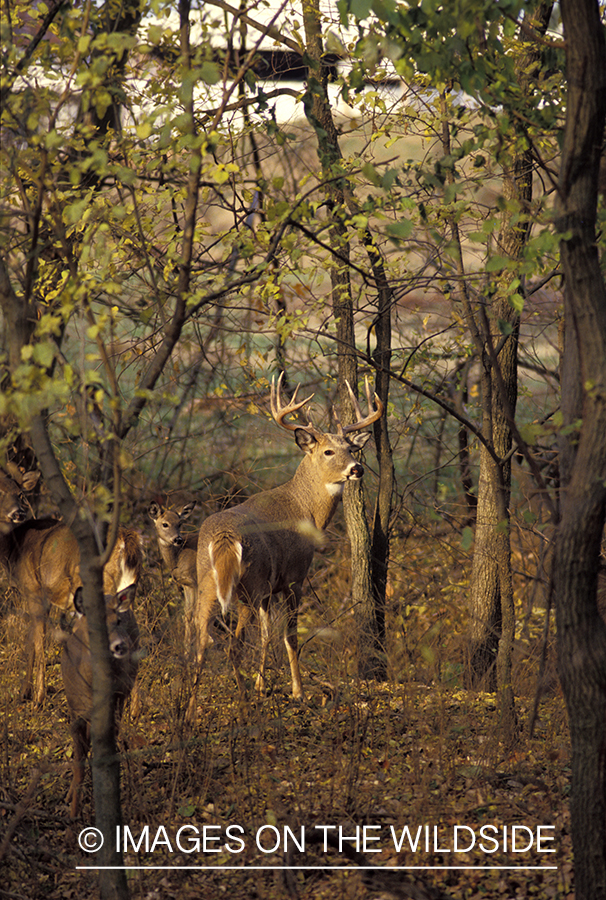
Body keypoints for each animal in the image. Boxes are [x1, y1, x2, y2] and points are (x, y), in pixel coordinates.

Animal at [60, 580, 140, 820]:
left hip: (122, 695)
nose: (121, 646)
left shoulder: (115, 700)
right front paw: (73, 812)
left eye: (118, 621)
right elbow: (79, 760)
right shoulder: (75, 712)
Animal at [148, 502, 197, 644]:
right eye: (165, 524)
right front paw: (187, 646)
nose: (178, 539)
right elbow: (188, 615)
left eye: (180, 523)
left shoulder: (196, 580)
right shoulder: (187, 584)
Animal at [194, 376, 384, 700]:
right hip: (247, 586)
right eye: (328, 452)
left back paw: (192, 704)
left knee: (199, 646)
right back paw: (244, 699)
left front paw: (262, 683)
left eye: (351, 448)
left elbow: (267, 634)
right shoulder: (294, 577)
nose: (357, 468)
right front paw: (298, 690)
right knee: (233, 646)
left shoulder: (268, 589)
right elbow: (289, 636)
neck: (305, 510)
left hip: (207, 584)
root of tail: (224, 538)